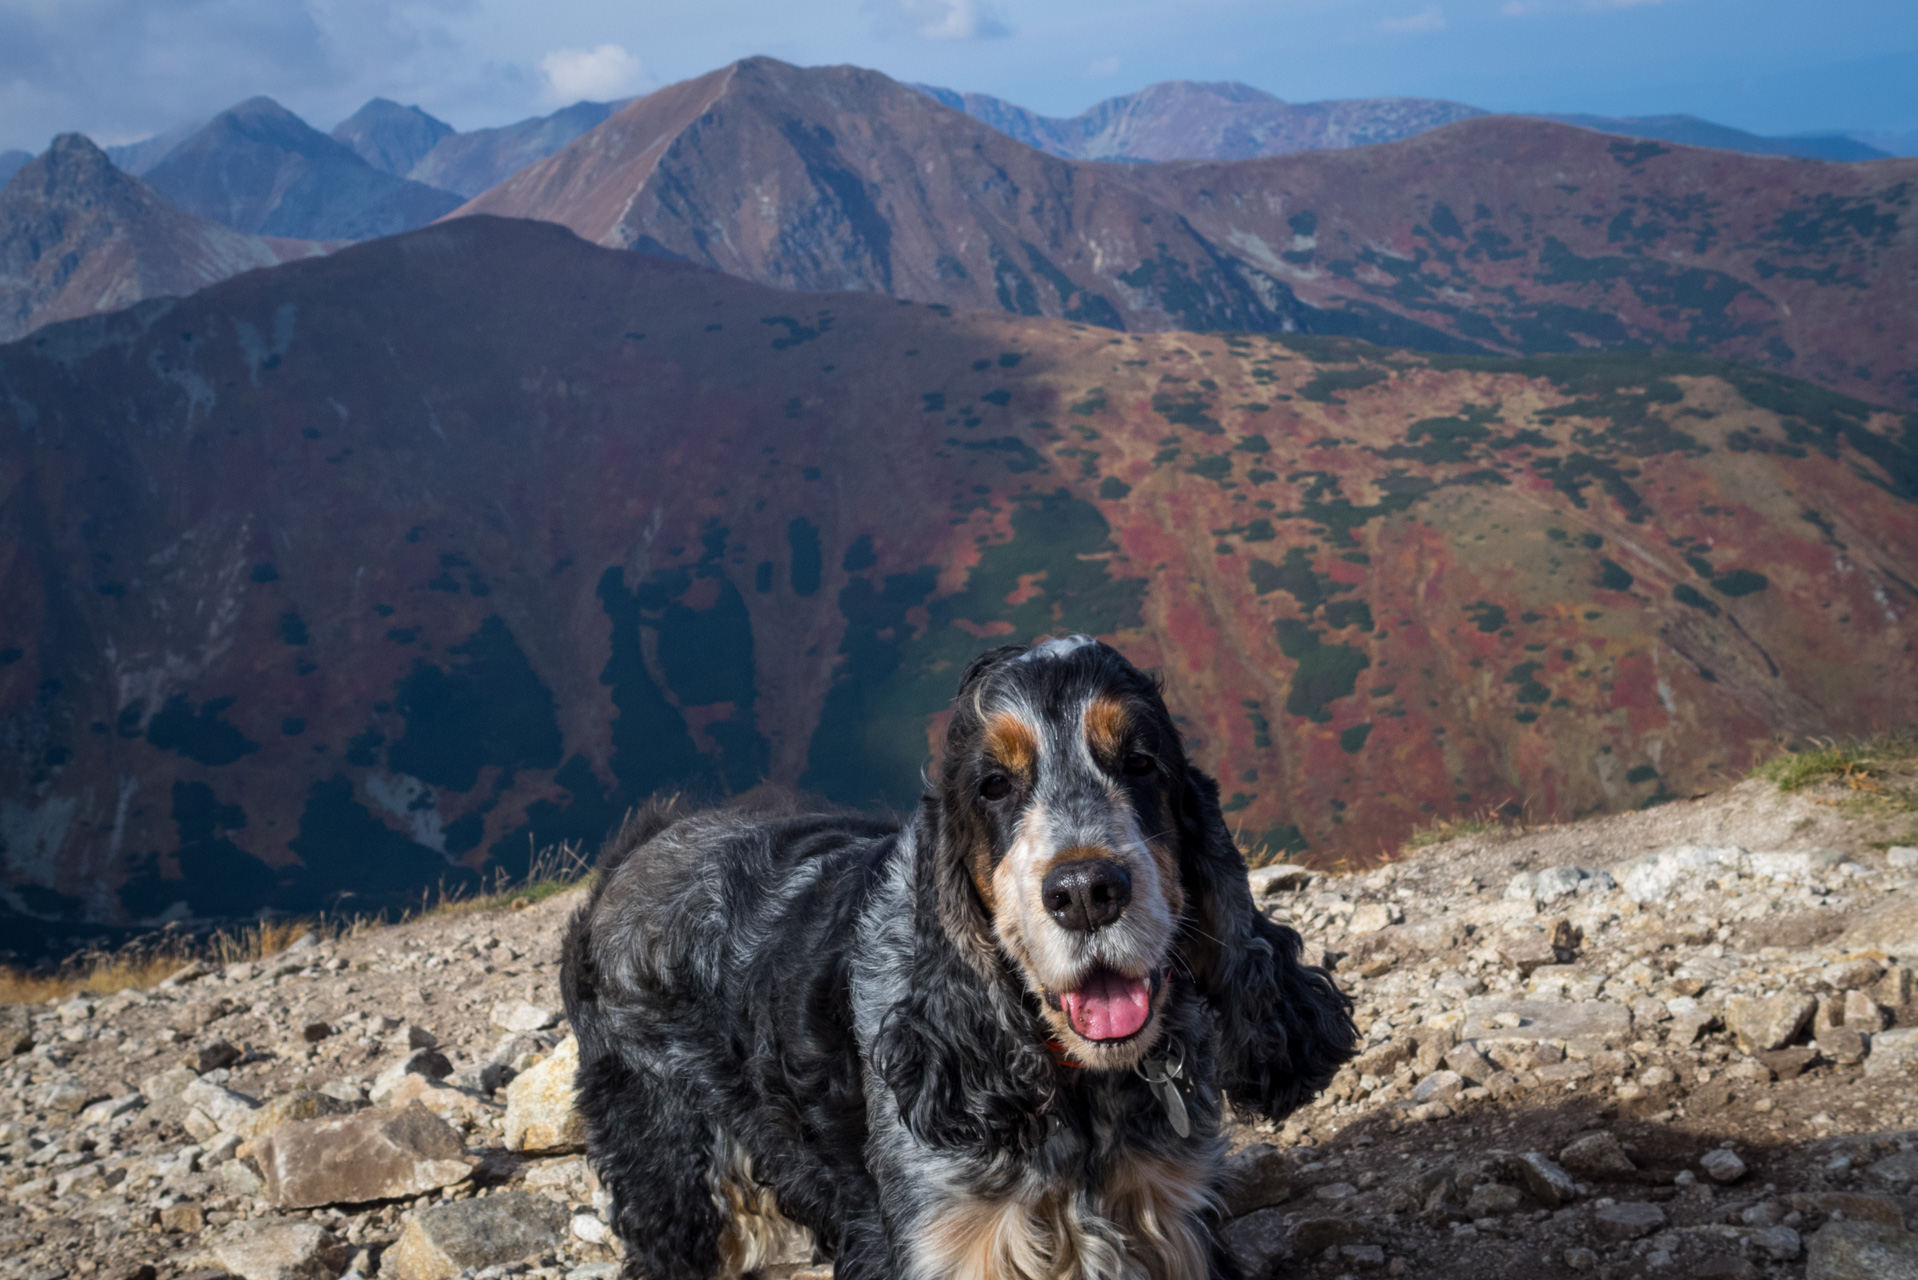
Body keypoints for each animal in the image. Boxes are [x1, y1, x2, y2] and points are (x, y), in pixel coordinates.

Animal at [560, 637, 1357, 1274]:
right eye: (993, 785)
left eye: (1140, 761)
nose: (1087, 892)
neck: (1073, 1092)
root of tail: (634, 853)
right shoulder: (944, 1242)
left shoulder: (1174, 1221)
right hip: (675, 1180)